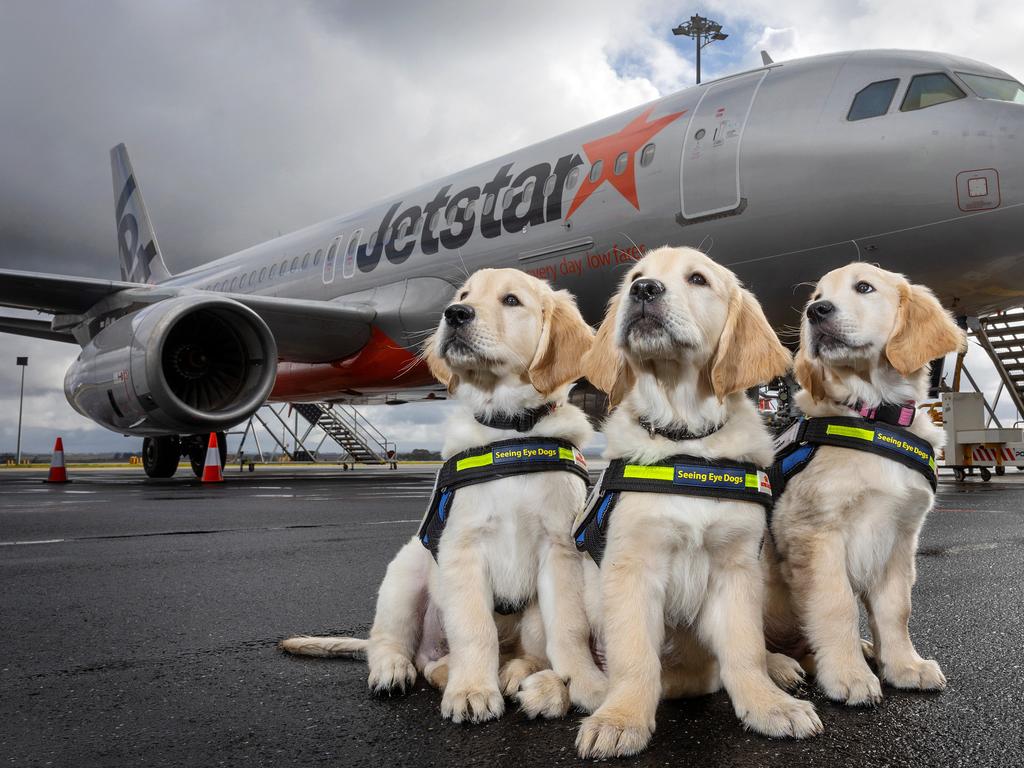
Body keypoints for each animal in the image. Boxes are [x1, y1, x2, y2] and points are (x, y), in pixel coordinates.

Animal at [278, 268, 606, 720]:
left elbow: (570, 627)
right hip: (406, 574)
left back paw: (523, 676)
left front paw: (587, 683)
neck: (509, 430)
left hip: (529, 616)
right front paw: (471, 691)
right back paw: (398, 670)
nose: (454, 314)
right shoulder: (461, 547)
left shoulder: (559, 549)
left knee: (516, 653)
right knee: (397, 646)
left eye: (511, 300)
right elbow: (474, 628)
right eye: (464, 295)